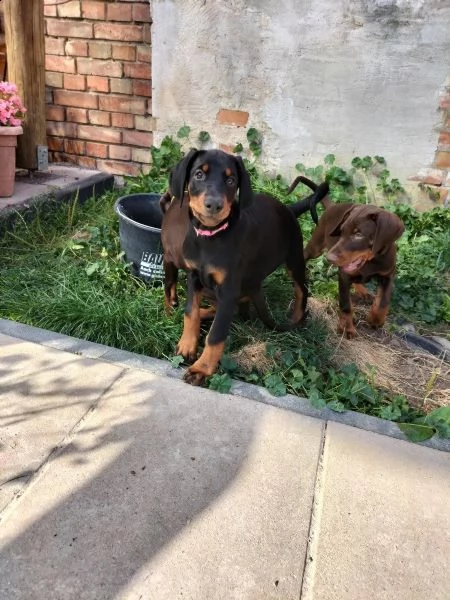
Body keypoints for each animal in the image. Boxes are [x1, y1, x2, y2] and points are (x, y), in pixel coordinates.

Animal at [160, 150, 328, 384]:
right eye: (198, 175)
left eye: (231, 181)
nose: (214, 205)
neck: (211, 237)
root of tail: (287, 207)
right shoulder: (194, 277)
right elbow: (190, 312)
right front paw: (187, 346)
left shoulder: (229, 289)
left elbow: (216, 335)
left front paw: (201, 369)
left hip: (294, 259)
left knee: (301, 290)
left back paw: (296, 318)